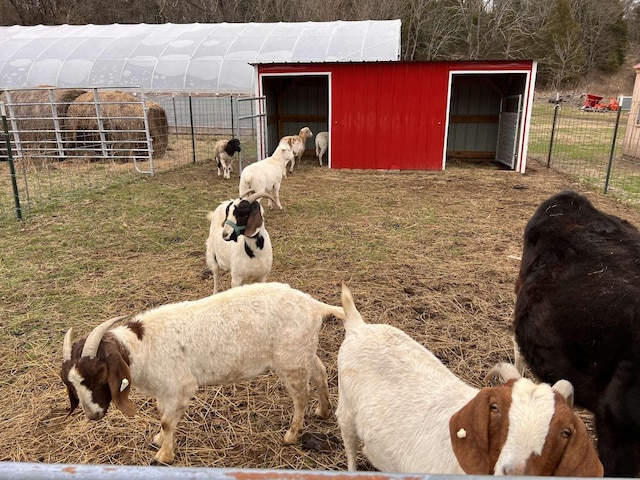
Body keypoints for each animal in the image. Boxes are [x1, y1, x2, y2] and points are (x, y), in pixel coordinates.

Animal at [61, 282, 344, 464]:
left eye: (99, 374)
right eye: (71, 382)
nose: (92, 415)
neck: (142, 345)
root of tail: (314, 305)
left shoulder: (180, 386)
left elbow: (167, 420)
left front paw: (163, 456)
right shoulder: (165, 390)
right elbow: (162, 415)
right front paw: (159, 440)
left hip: (290, 360)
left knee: (301, 395)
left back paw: (291, 435)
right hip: (302, 350)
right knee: (319, 372)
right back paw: (323, 410)